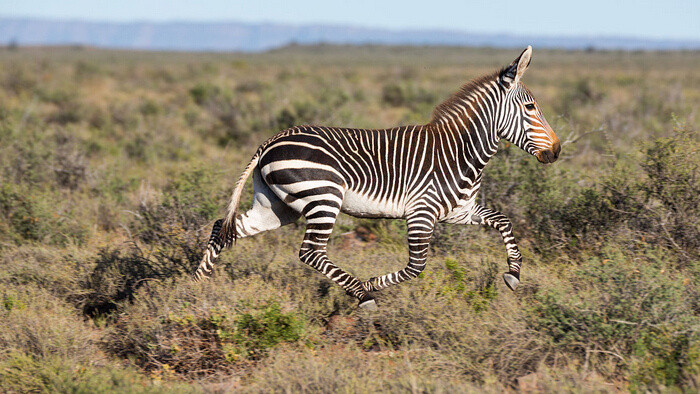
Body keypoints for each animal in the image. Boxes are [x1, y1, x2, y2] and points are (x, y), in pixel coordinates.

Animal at [194, 46, 560, 310]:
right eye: (530, 108)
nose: (556, 151)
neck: (461, 152)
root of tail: (270, 140)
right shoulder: (421, 213)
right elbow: (417, 266)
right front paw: (371, 286)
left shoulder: (459, 211)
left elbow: (503, 221)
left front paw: (513, 273)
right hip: (323, 198)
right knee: (310, 252)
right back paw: (362, 294)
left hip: (277, 205)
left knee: (226, 228)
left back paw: (196, 288)